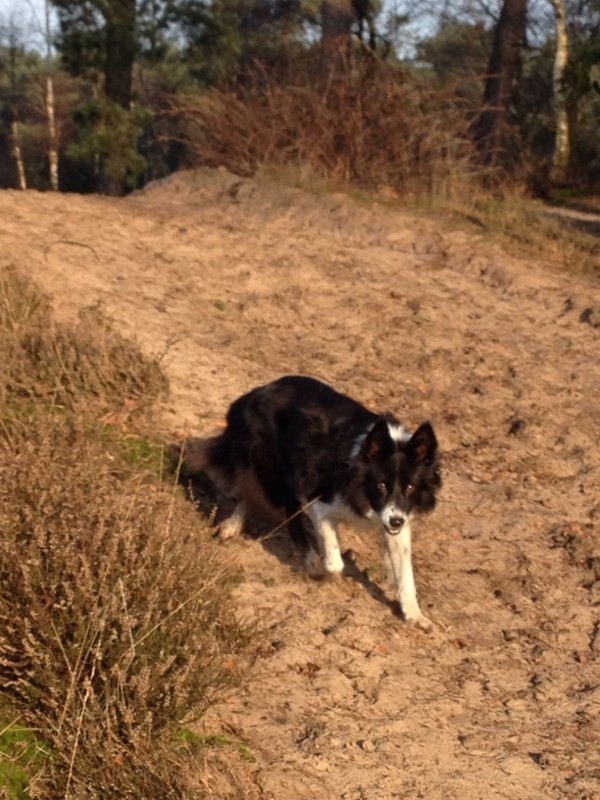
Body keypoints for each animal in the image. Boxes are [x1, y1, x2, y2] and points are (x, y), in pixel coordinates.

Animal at [173, 376, 440, 632]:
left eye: (410, 488)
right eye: (381, 485)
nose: (395, 521)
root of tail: (257, 391)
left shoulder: (397, 521)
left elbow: (405, 574)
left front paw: (415, 615)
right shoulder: (320, 502)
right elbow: (334, 562)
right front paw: (322, 567)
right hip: (277, 471)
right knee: (274, 504)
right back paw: (300, 554)